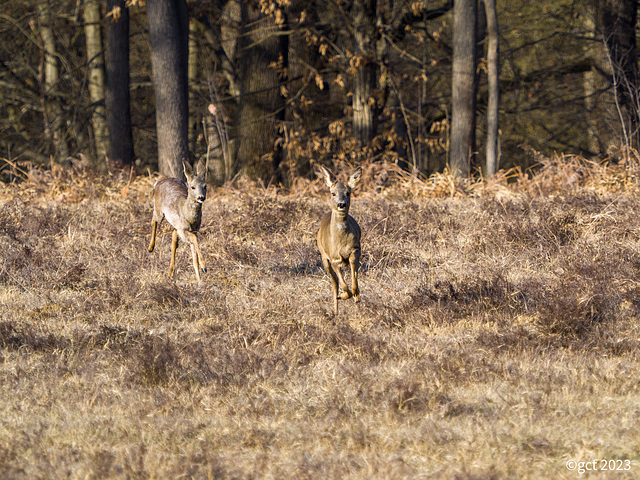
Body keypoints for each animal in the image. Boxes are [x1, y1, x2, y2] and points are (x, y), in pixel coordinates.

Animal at [318, 165, 362, 316]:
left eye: (348, 193)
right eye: (333, 193)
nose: (341, 204)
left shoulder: (356, 249)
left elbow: (354, 285)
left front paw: (353, 295)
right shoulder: (334, 258)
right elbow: (342, 284)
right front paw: (343, 295)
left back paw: (358, 309)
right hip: (324, 258)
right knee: (334, 283)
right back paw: (336, 312)